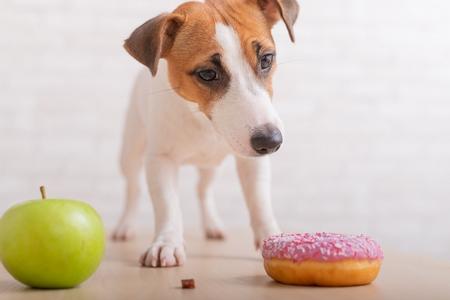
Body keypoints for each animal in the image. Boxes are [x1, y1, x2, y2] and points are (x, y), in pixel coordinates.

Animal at [112, 0, 298, 268]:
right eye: (207, 74)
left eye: (266, 59)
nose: (270, 141)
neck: (203, 121)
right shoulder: (160, 160)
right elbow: (167, 204)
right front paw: (167, 243)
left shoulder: (253, 162)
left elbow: (259, 201)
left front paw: (270, 237)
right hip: (131, 150)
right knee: (133, 188)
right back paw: (125, 225)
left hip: (210, 167)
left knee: (203, 190)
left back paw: (212, 225)